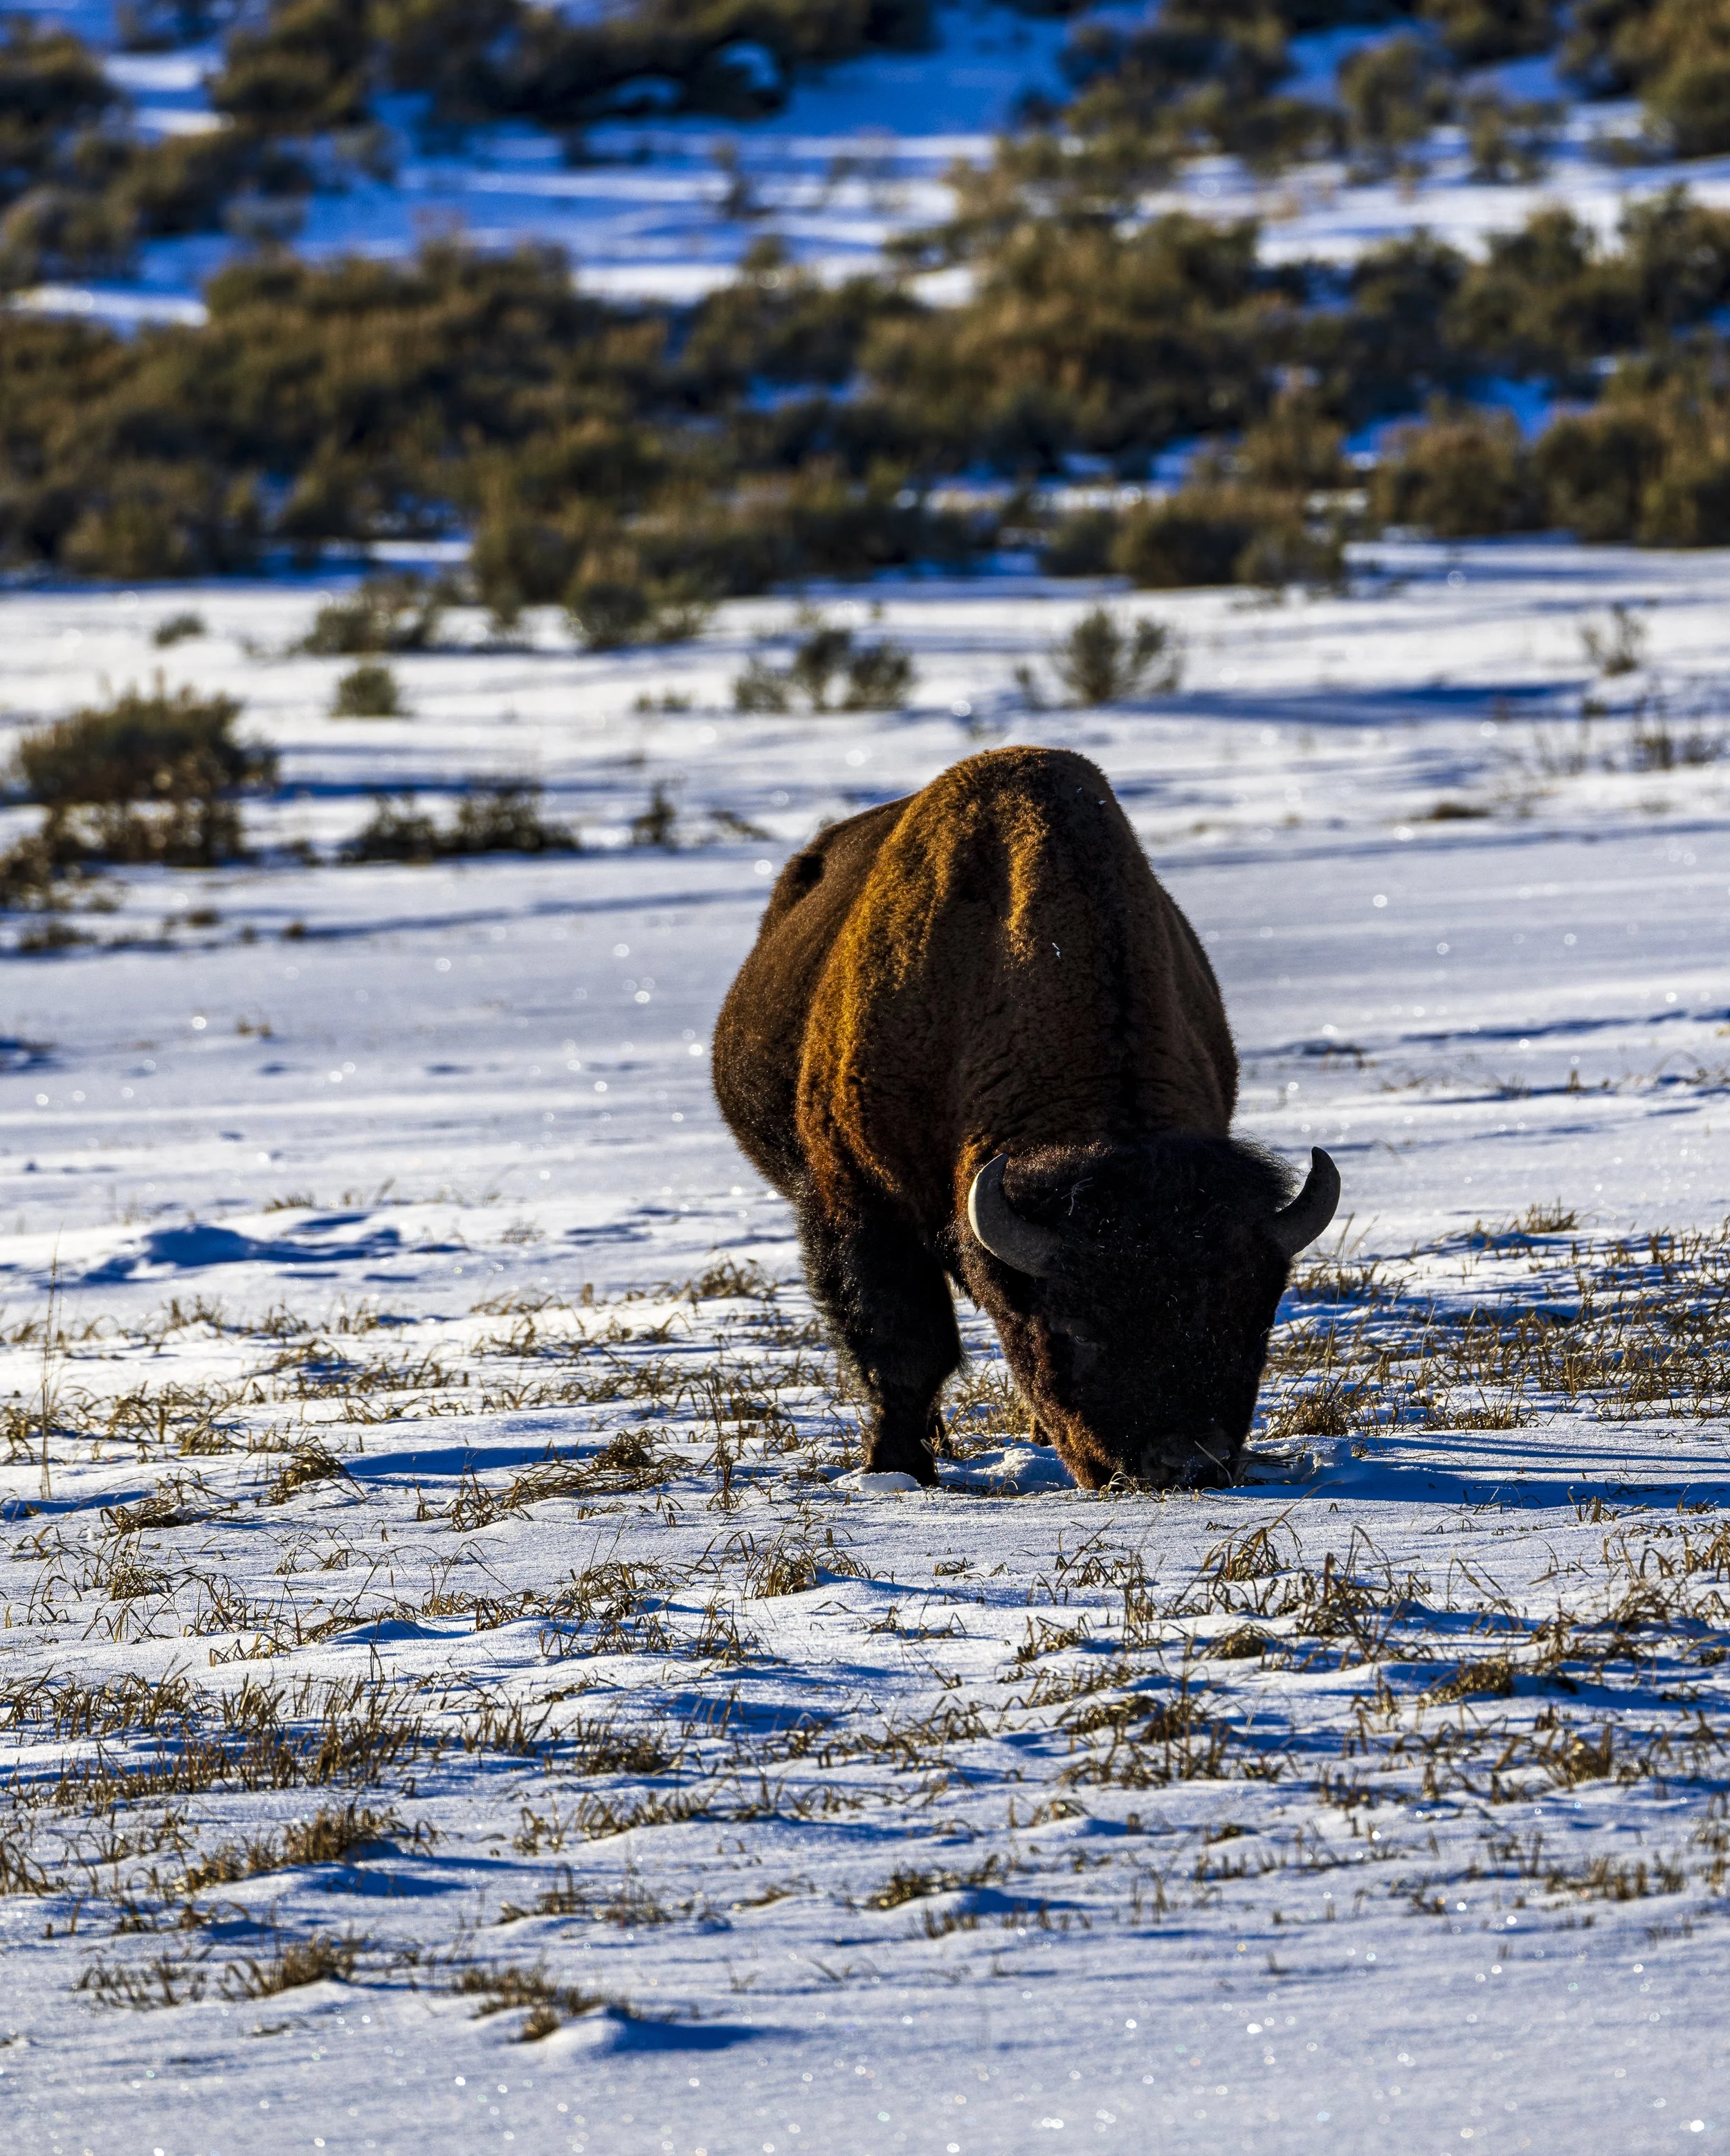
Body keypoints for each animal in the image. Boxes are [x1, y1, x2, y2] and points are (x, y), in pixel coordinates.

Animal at [712, 745, 1338, 1490]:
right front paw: (898, 1468)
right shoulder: (858, 1198)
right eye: (1071, 1325)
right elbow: (904, 1347)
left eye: (1254, 1317)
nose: (1184, 1462)